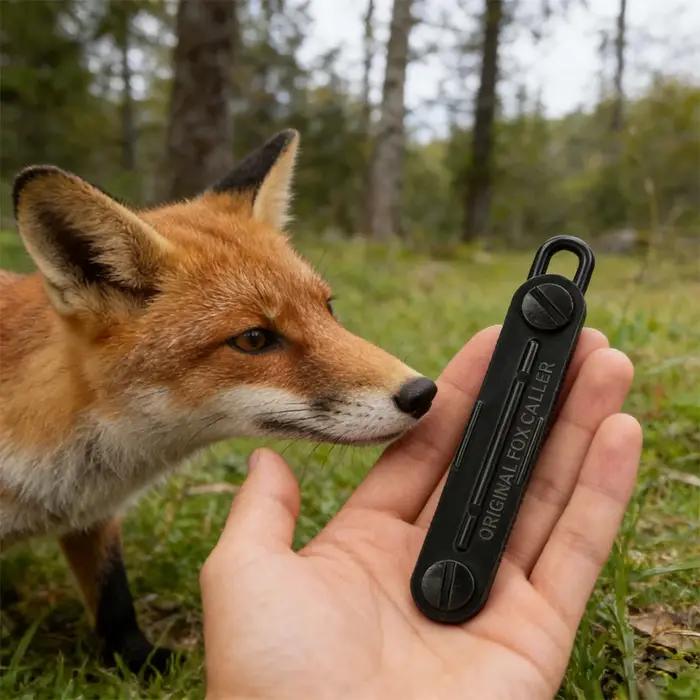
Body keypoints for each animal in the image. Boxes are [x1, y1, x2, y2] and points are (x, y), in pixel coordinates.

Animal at [0, 130, 437, 672]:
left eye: (327, 308)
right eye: (253, 339)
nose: (422, 392)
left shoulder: (93, 518)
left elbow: (113, 597)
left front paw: (139, 662)